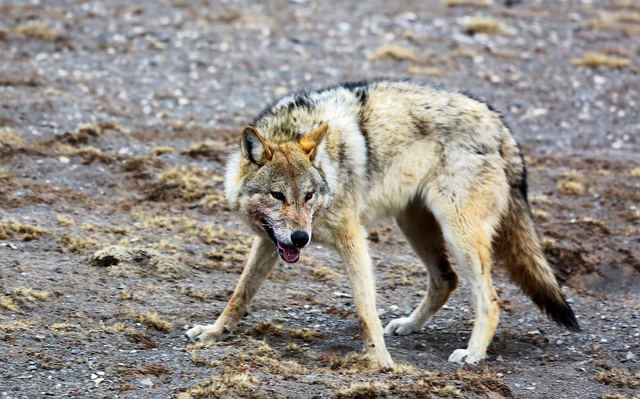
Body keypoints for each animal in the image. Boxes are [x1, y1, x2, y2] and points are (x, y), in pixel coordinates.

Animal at [185, 79, 580, 368]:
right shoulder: (271, 242)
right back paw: (409, 325)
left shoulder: (353, 238)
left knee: (491, 299)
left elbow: (365, 310)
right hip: (414, 225)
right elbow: (240, 293)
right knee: (446, 280)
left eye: (308, 196)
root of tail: (498, 122)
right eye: (277, 196)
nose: (300, 238)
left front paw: (380, 361)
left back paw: (473, 354)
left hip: (458, 233)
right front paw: (214, 332)